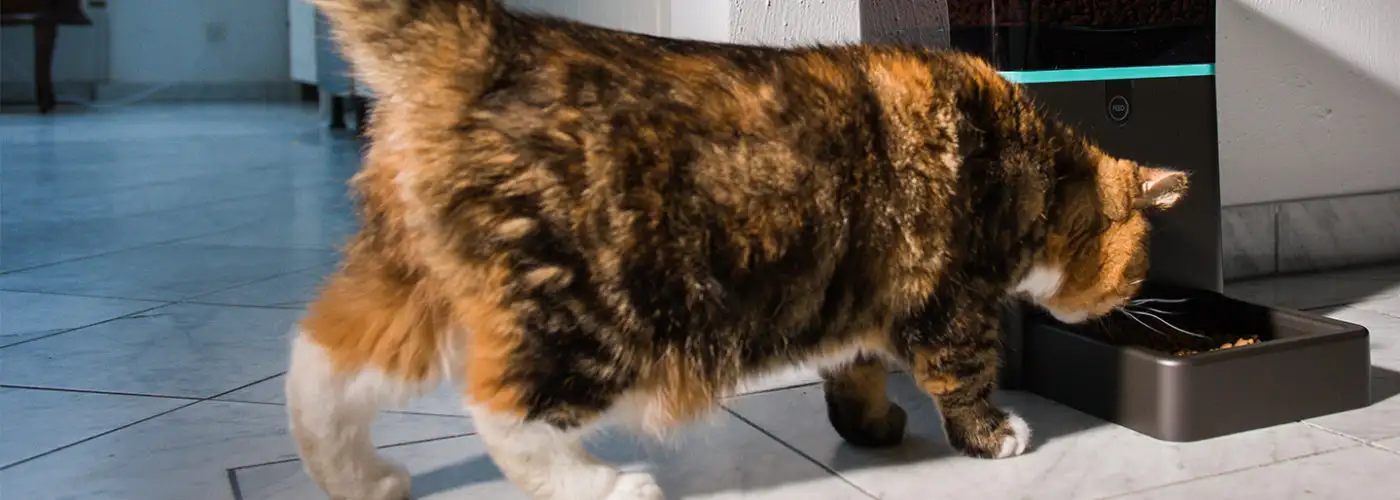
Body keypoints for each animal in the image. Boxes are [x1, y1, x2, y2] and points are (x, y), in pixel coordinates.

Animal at [289, 0, 1187, 498]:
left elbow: (854, 370)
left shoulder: (865, 300)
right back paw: (603, 485)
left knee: (319, 368)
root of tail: (494, 43)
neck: (1032, 165)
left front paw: (870, 427)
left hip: (411, 288)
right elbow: (962, 375)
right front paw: (992, 435)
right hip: (591, 313)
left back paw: (361, 480)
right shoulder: (951, 300)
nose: (1136, 298)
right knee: (503, 412)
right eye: (1138, 266)